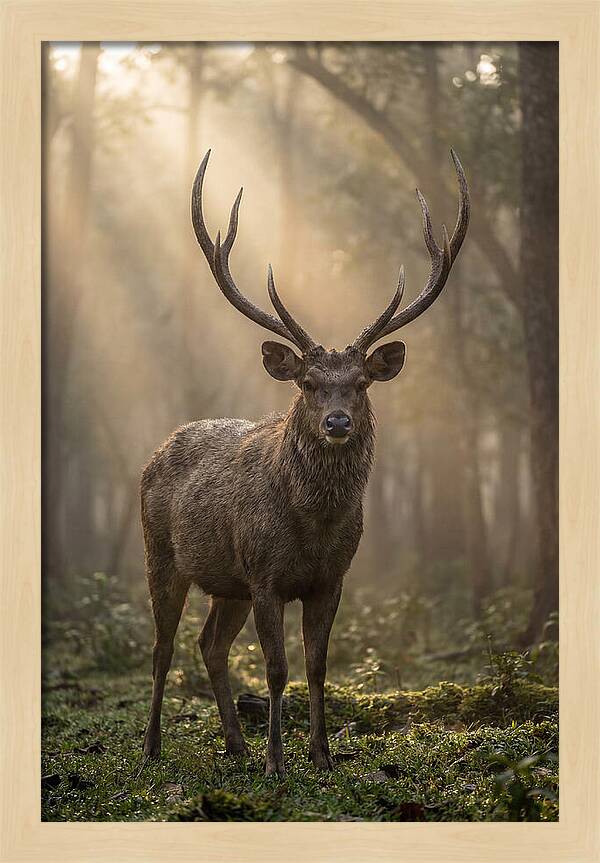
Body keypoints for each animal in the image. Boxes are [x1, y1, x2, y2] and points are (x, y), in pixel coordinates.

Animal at [141, 149, 469, 776]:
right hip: (162, 554)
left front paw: (320, 755)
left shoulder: (331, 579)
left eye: (362, 383)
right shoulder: (265, 574)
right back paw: (152, 748)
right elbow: (277, 669)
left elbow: (317, 665)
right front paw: (277, 763)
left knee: (209, 644)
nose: (337, 422)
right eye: (310, 384)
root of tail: (156, 450)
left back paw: (235, 745)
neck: (312, 527)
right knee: (164, 646)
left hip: (228, 583)